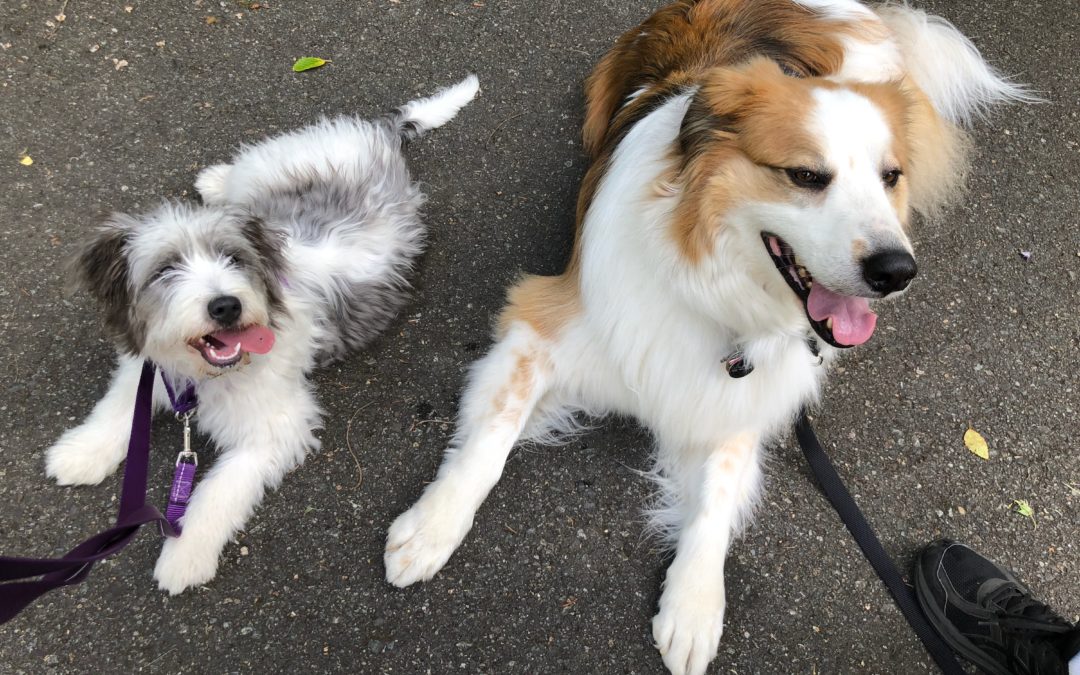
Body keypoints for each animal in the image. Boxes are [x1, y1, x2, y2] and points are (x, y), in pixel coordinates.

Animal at [46, 75, 477, 596]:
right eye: (165, 270)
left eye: (234, 259)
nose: (225, 305)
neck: (206, 377)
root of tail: (380, 138)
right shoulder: (152, 363)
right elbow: (120, 406)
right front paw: (82, 453)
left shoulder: (274, 427)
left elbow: (218, 490)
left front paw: (183, 555)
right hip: (270, 168)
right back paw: (214, 179)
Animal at [384, 2, 1023, 669]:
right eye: (805, 175)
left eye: (890, 176)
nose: (897, 271)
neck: (708, 287)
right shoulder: (542, 320)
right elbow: (491, 438)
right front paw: (432, 527)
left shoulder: (744, 395)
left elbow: (715, 497)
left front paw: (693, 605)